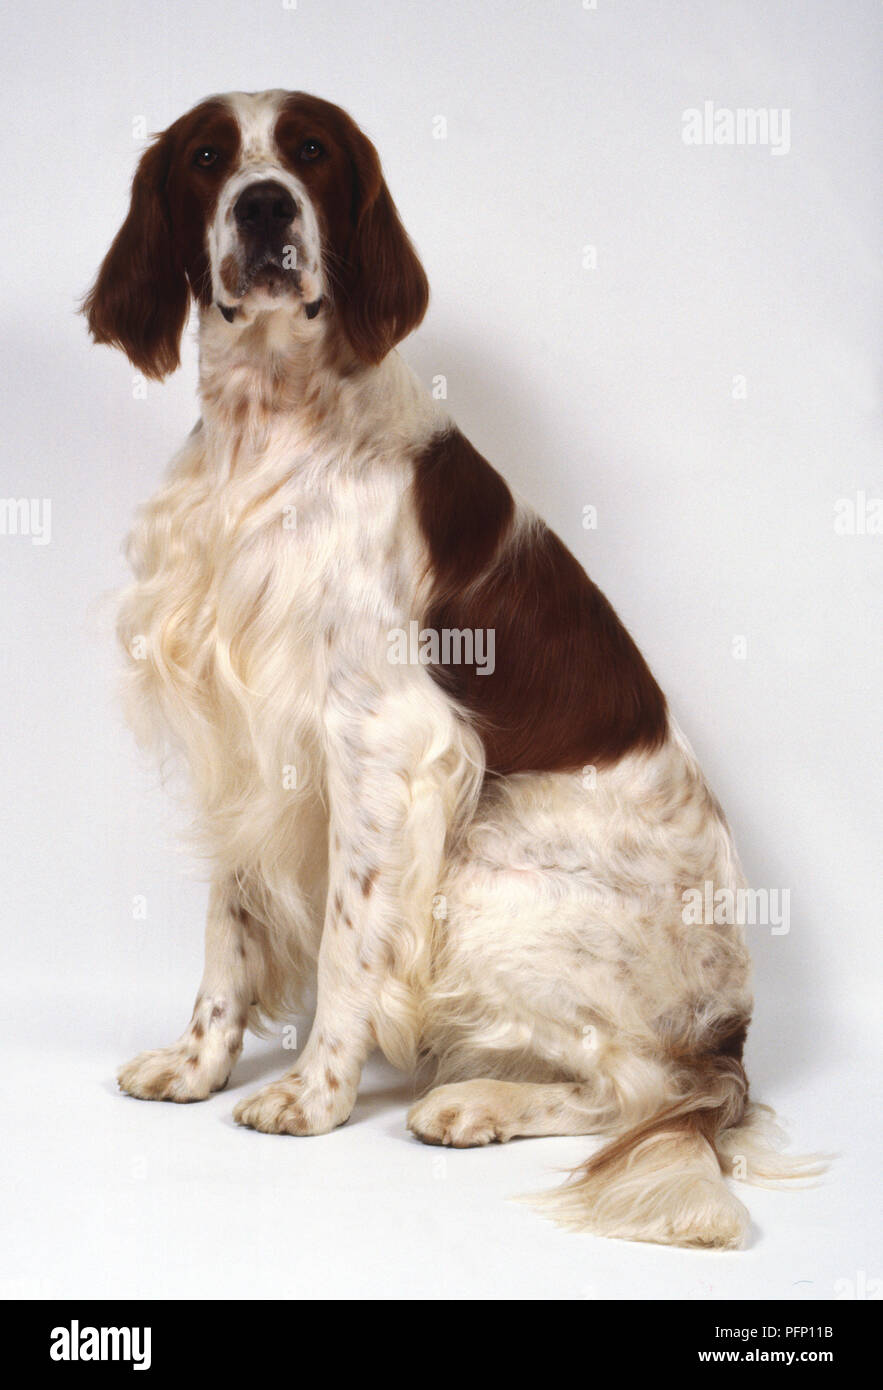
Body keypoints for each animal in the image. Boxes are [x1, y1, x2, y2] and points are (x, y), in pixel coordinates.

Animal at [82, 89, 817, 1251]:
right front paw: (197, 1064)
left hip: (488, 883)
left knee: (642, 1088)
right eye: (206, 156)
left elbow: (344, 945)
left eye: (310, 152)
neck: (270, 426)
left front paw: (312, 1095)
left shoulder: (378, 741)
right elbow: (227, 931)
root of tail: (735, 1026)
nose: (262, 206)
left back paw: (476, 1102)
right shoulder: (241, 736)